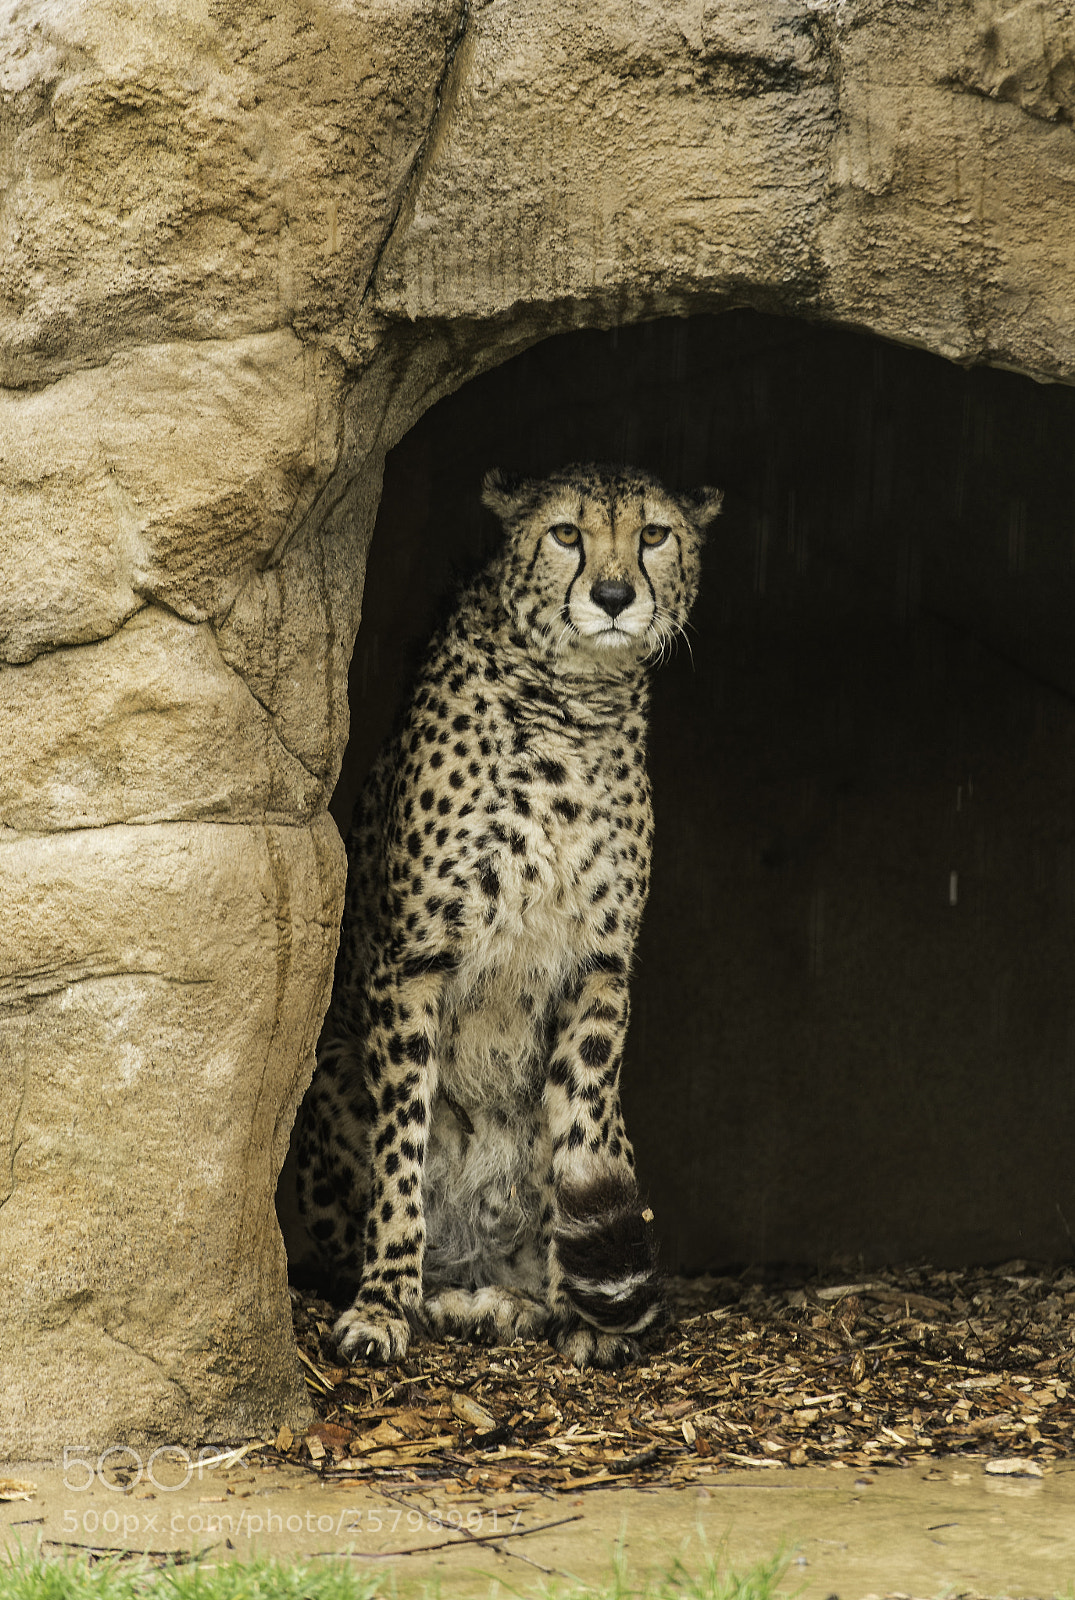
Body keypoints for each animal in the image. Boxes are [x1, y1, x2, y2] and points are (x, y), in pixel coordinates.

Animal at [291, 462, 722, 1369]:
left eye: (654, 534)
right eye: (565, 533)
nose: (612, 595)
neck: (574, 706)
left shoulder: (598, 967)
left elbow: (577, 1134)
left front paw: (582, 1316)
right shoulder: (414, 961)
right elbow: (401, 1149)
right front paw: (383, 1304)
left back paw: (516, 1300)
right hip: (332, 1073)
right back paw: (445, 1296)